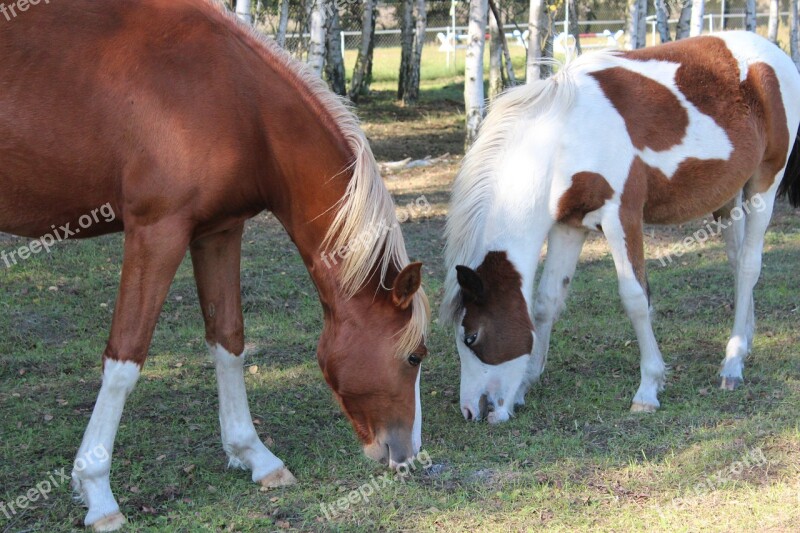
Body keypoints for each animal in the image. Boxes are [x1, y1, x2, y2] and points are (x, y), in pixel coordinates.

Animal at [1, 0, 432, 528]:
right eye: (414, 357)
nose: (409, 453)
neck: (238, 103)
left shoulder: (219, 232)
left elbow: (229, 341)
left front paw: (255, 456)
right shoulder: (157, 232)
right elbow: (124, 361)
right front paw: (98, 493)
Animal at [440, 32, 800, 424]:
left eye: (471, 336)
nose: (472, 411)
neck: (562, 140)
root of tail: (774, 54)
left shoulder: (621, 217)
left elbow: (635, 298)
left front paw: (648, 388)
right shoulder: (569, 226)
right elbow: (546, 301)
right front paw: (524, 386)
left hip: (764, 184)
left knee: (749, 266)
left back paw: (732, 363)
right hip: (729, 197)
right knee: (737, 265)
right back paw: (745, 342)